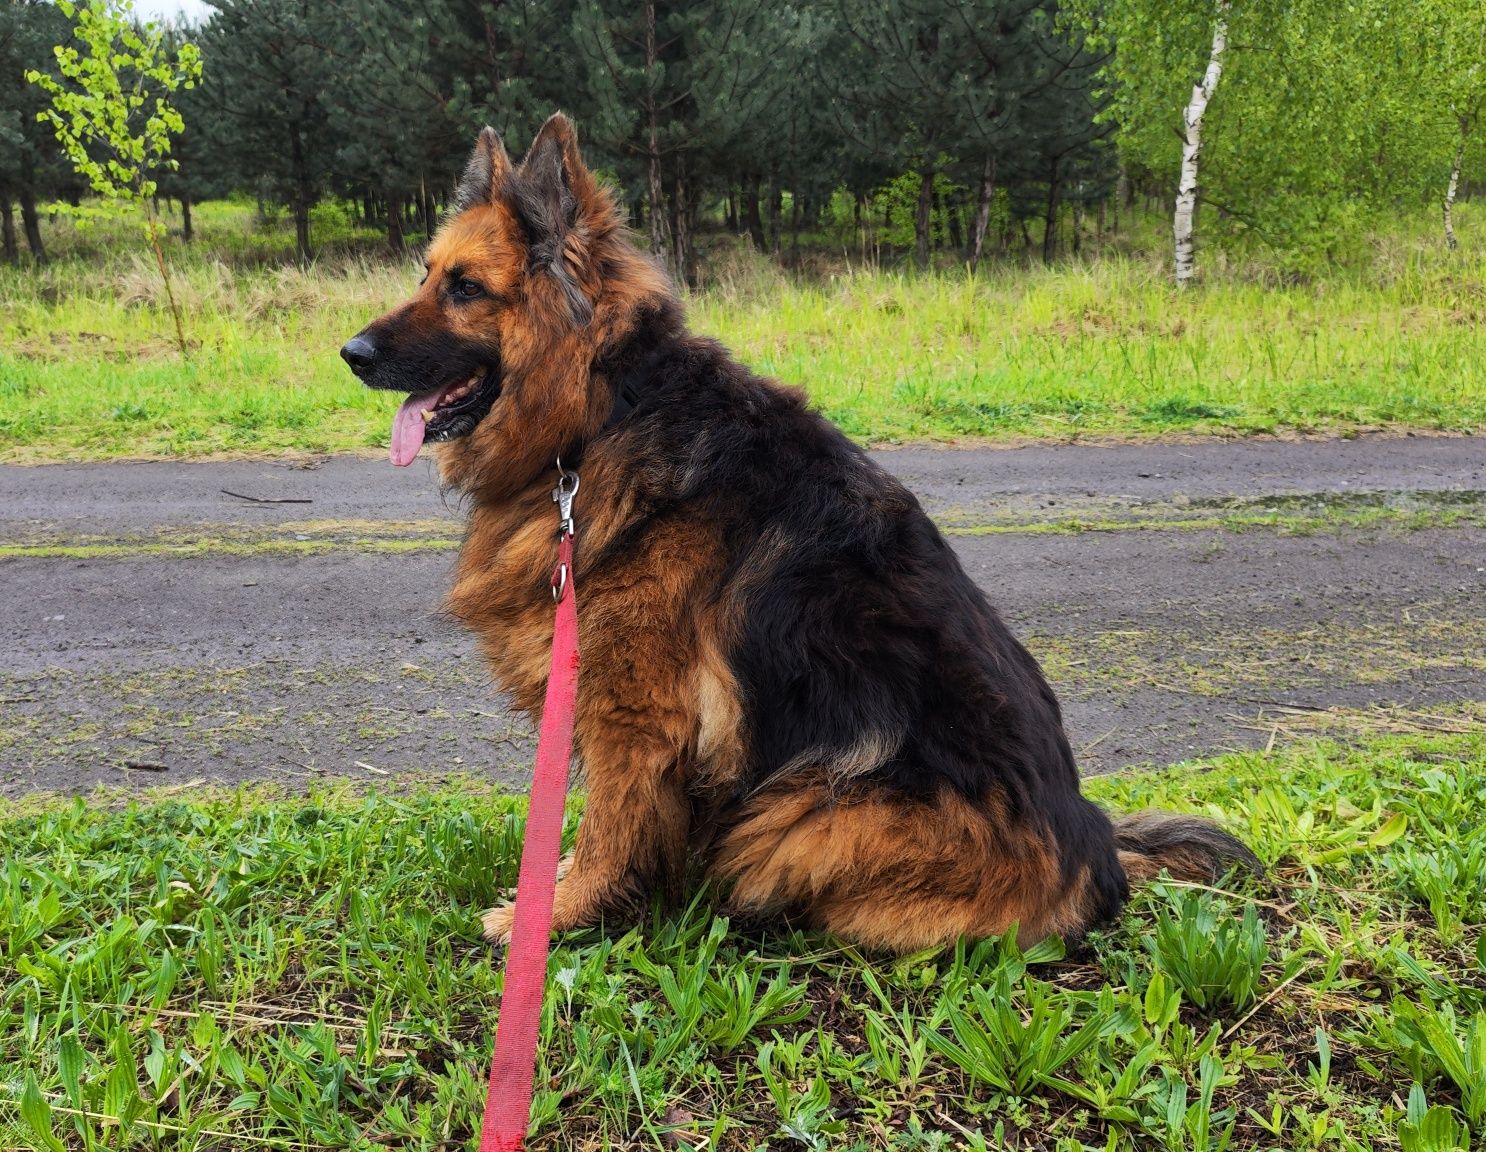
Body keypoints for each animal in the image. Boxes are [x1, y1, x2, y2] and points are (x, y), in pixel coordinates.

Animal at [341, 115, 1260, 957]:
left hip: (805, 809)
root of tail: (1098, 857)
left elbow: (608, 823)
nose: (349, 352)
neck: (604, 412)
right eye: (426, 275)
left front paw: (557, 916)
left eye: (465, 287)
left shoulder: (632, 707)